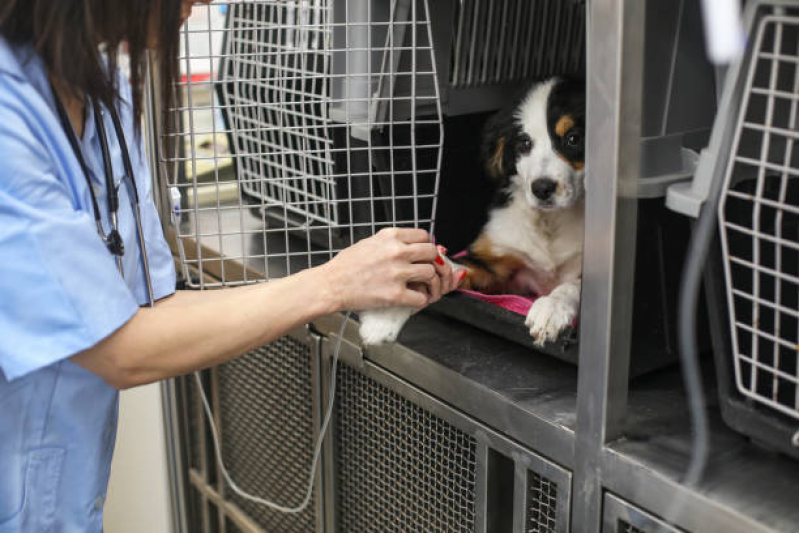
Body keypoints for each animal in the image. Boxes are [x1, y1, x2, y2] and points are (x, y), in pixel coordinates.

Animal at [456, 78, 588, 344]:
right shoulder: (500, 264)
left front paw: (550, 308)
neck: (550, 221)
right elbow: (467, 266)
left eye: (573, 139)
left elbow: (571, 287)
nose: (542, 188)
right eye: (525, 143)